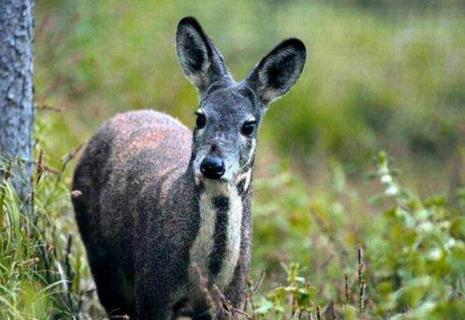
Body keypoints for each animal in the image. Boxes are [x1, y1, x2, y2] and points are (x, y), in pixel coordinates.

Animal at [71, 15, 304, 320]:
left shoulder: (235, 299)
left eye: (249, 125)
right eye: (201, 117)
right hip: (102, 261)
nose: (212, 165)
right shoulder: (152, 289)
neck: (206, 273)